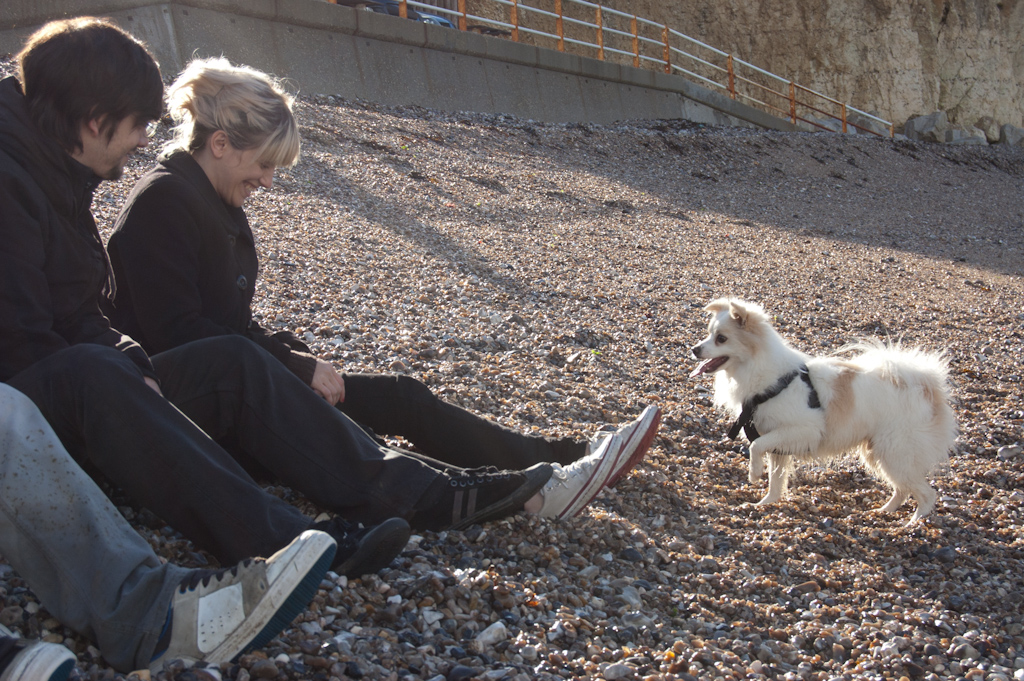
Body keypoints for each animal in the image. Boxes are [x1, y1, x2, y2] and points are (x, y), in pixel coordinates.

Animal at [690, 298, 957, 523]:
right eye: (708, 334)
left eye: (721, 338)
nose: (694, 349)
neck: (770, 378)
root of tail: (926, 386)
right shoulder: (779, 444)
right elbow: (775, 480)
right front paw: (765, 504)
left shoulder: (803, 430)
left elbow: (756, 446)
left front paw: (754, 473)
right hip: (881, 454)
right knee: (902, 490)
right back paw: (883, 512)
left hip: (895, 453)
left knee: (926, 494)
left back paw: (912, 525)